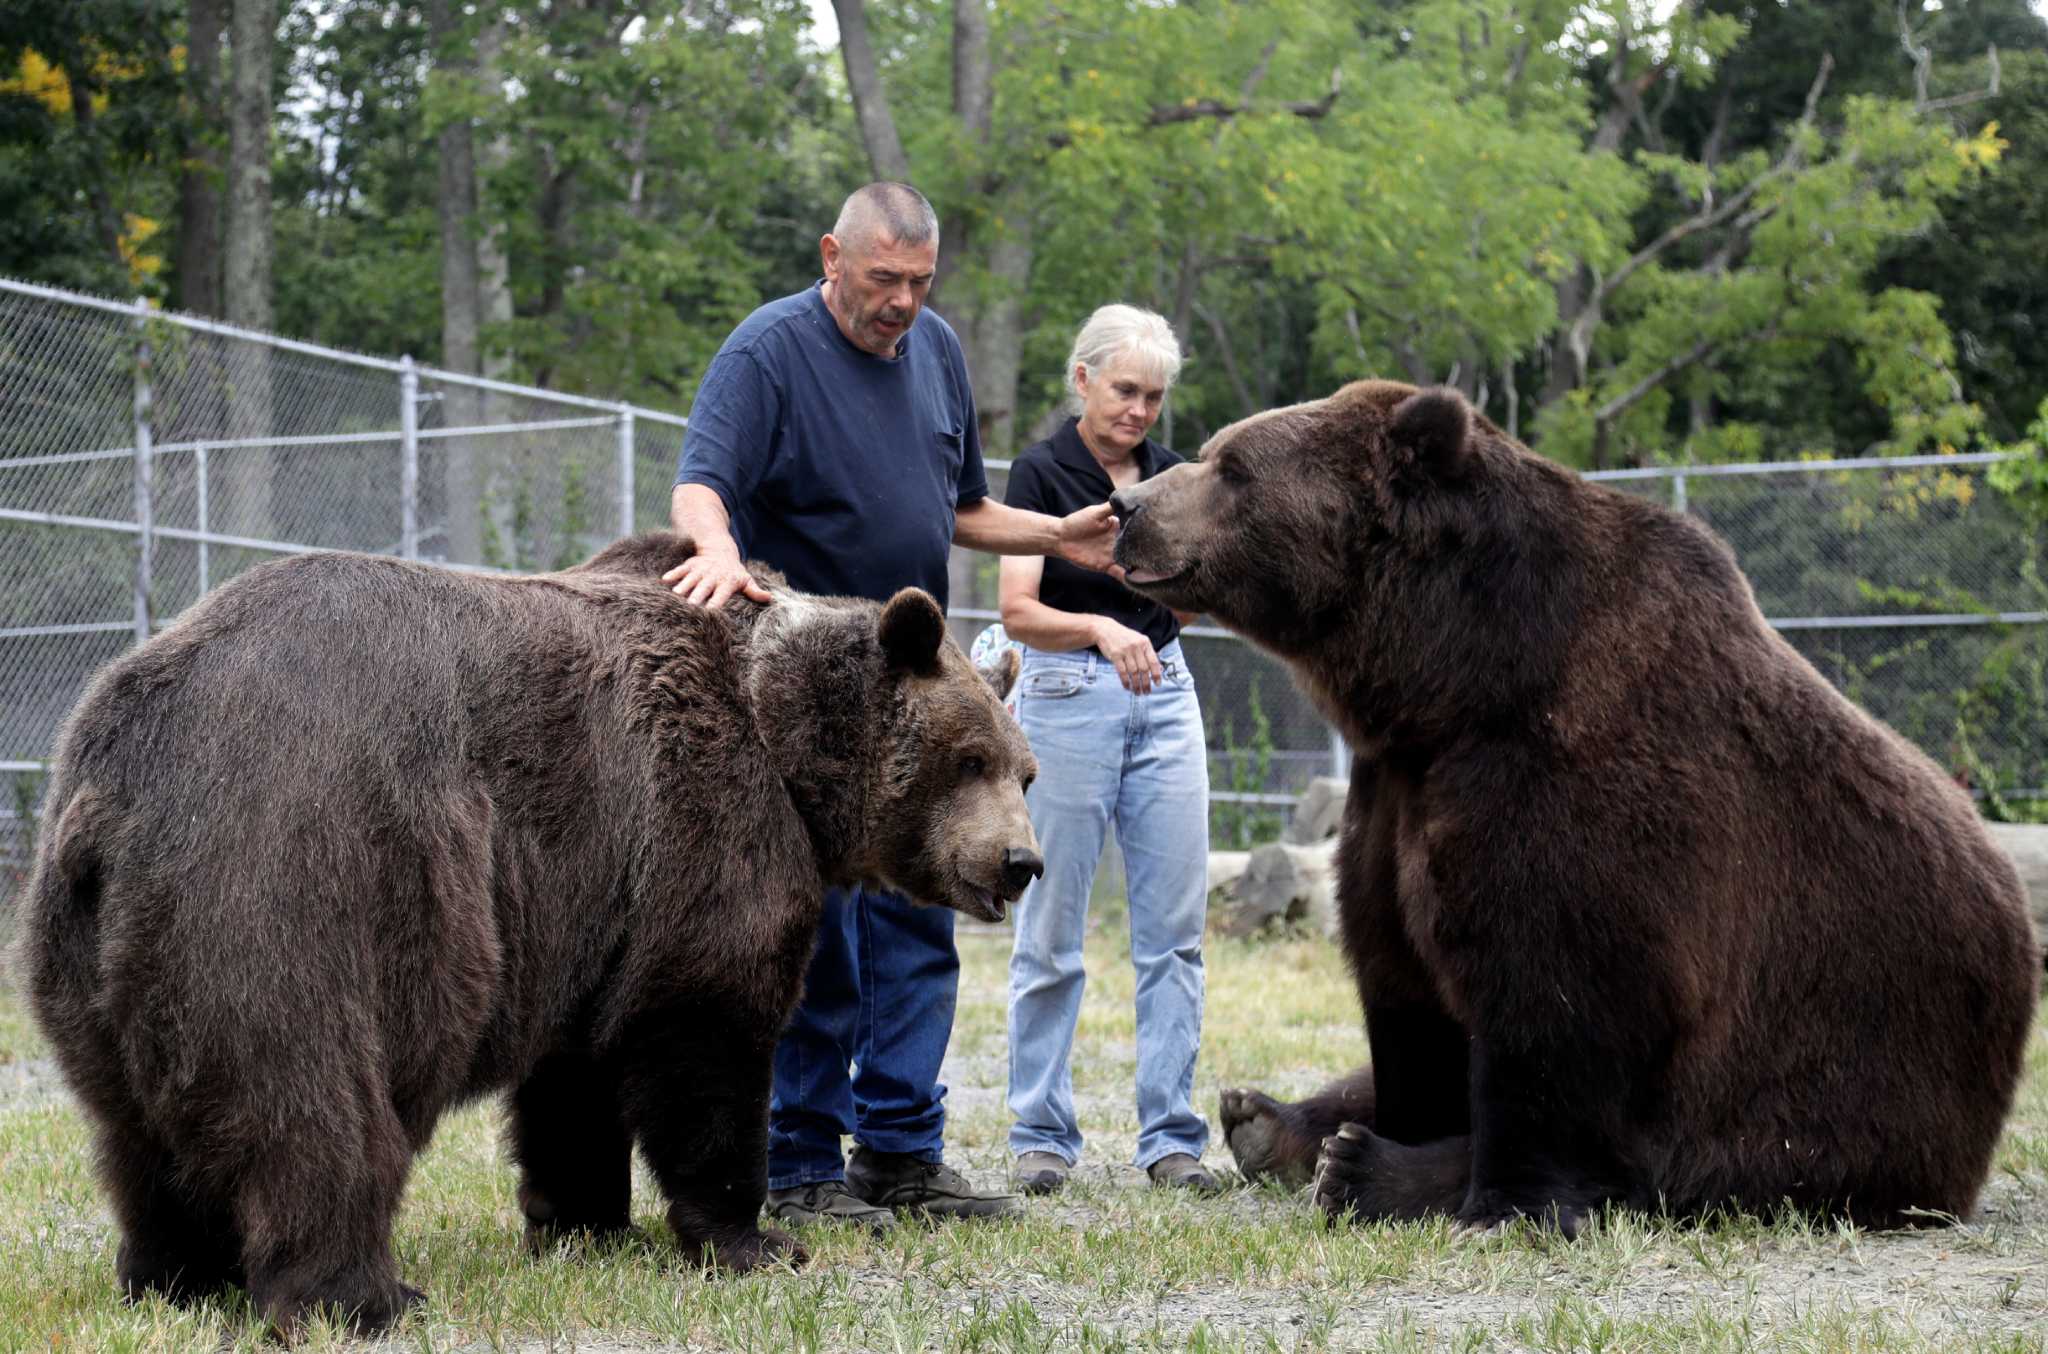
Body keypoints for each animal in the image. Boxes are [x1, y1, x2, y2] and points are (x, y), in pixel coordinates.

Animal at [13, 530, 1041, 1336]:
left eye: (1023, 770)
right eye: (969, 758)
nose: (1019, 862)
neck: (785, 734)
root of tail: (120, 776)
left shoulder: (595, 898)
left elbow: (576, 1072)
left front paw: (581, 1221)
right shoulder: (704, 823)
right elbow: (706, 1031)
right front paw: (755, 1239)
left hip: (96, 945)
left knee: (135, 1126)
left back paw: (175, 1279)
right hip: (297, 873)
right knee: (313, 1105)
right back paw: (363, 1297)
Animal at [1109, 380, 2041, 1235]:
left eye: (1233, 467)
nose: (1126, 506)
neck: (1452, 682)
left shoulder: (1578, 791)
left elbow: (1556, 1007)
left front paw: (1484, 1194)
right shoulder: (1396, 793)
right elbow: (1401, 984)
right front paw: (1374, 1131)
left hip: (1848, 1077)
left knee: (1701, 1158)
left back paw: (1359, 1165)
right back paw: (1269, 1120)